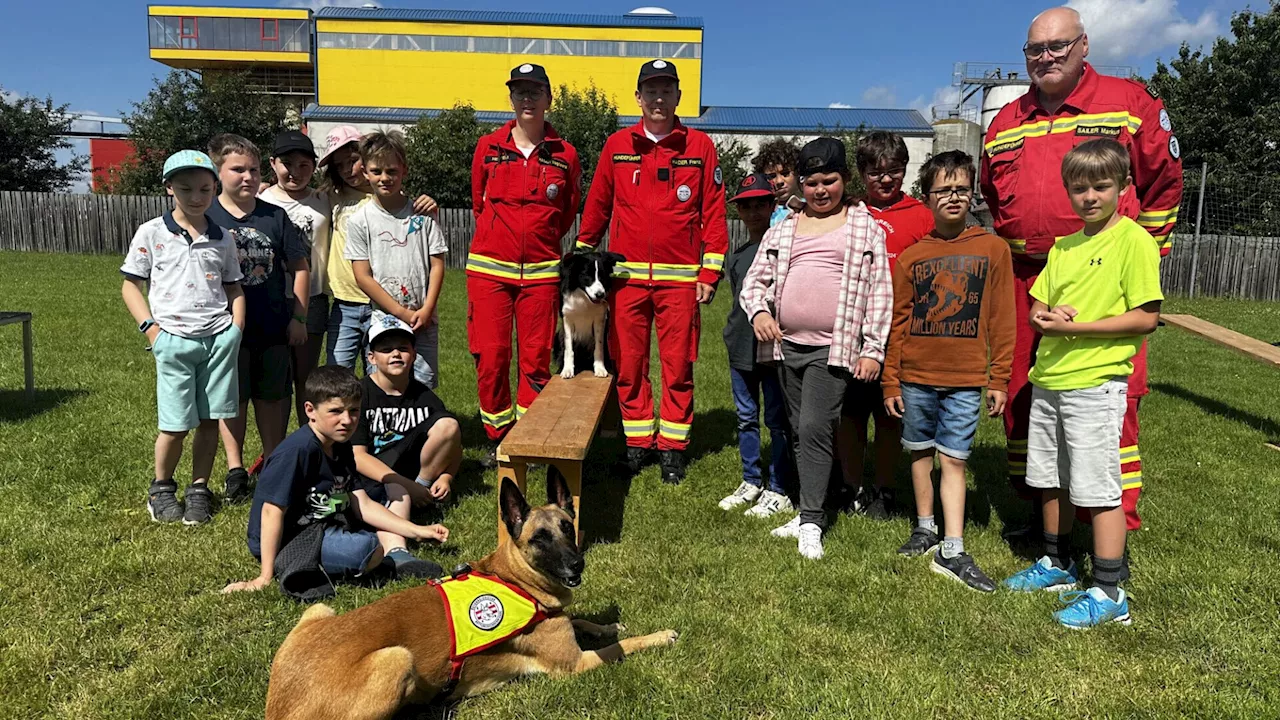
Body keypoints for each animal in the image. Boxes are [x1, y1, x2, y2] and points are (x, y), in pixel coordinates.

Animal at [263, 471, 675, 717]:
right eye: (540, 539)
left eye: (567, 528)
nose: (577, 565)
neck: (516, 579)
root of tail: (278, 708)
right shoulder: (577, 664)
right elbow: (624, 646)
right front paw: (657, 636)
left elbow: (580, 618)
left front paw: (607, 625)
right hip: (396, 658)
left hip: (319, 609)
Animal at [555, 249, 624, 379]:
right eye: (587, 276)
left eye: (602, 276)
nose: (600, 294)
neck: (584, 299)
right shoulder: (567, 318)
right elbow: (568, 348)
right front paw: (567, 369)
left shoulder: (599, 319)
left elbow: (599, 346)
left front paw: (600, 368)